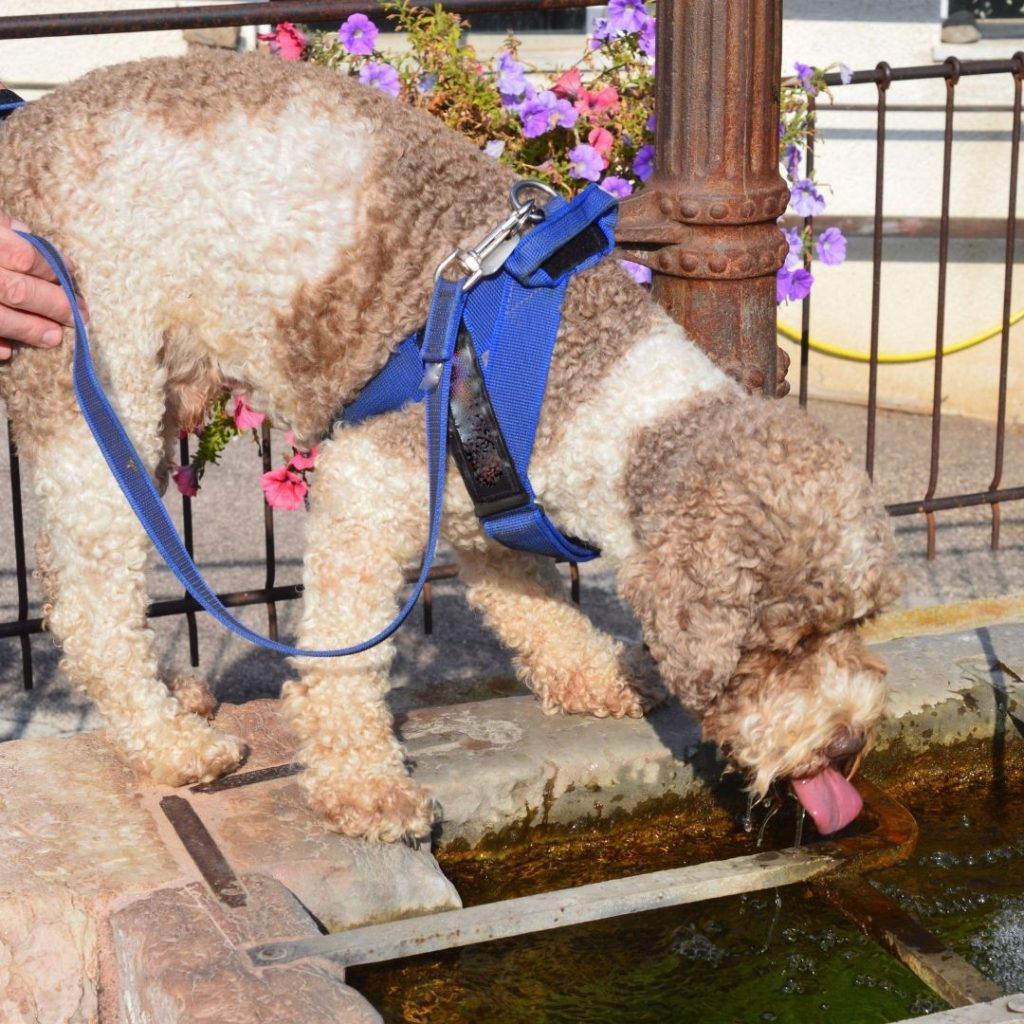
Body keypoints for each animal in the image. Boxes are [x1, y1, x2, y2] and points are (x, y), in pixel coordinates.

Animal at [0, 49, 897, 839]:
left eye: (856, 622)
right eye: (781, 647)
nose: (848, 741)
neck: (591, 377)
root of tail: (20, 134)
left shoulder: (490, 487)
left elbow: (534, 603)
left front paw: (599, 672)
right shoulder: (369, 482)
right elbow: (346, 656)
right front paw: (363, 787)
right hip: (95, 377)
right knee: (91, 605)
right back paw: (171, 746)